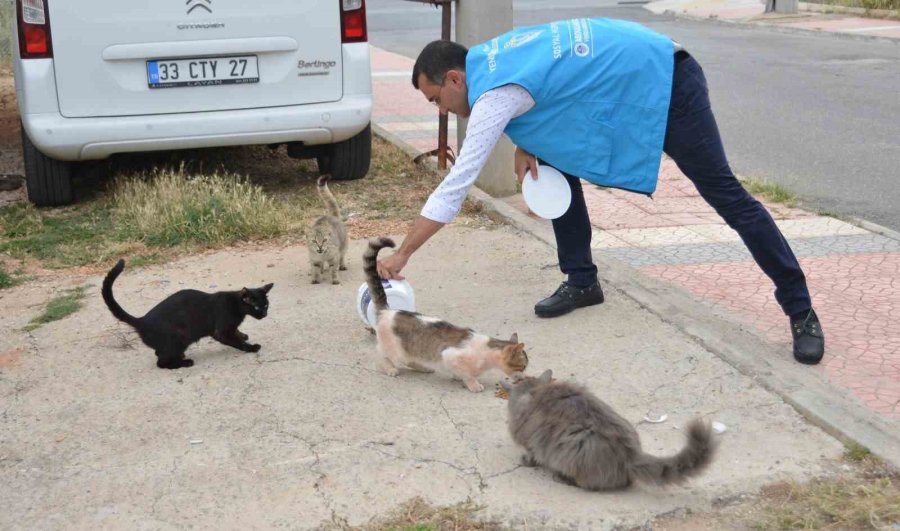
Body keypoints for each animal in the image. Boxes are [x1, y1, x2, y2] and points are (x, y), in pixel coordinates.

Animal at [103, 258, 274, 370]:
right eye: (256, 307)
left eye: (266, 305)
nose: (264, 314)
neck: (236, 305)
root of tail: (141, 320)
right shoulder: (220, 331)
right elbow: (235, 342)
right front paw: (251, 347)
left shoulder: (229, 328)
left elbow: (237, 333)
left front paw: (243, 335)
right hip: (179, 338)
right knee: (161, 363)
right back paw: (185, 363)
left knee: (159, 353)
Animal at [362, 239, 528, 392]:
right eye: (523, 366)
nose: (525, 378)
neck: (487, 354)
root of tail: (387, 311)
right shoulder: (449, 355)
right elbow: (466, 374)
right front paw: (473, 384)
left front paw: (458, 377)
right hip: (393, 347)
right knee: (382, 356)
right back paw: (390, 368)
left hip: (410, 349)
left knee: (409, 360)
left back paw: (424, 368)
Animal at [500, 370, 716, 490]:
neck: (536, 391)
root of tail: (632, 455)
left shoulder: (530, 442)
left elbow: (531, 454)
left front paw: (526, 461)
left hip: (576, 447)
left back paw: (561, 477)